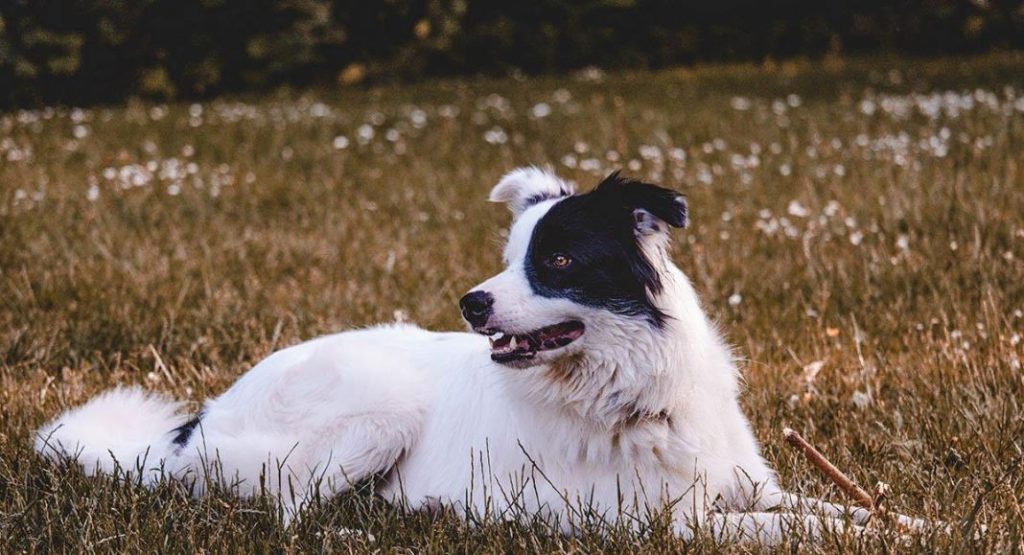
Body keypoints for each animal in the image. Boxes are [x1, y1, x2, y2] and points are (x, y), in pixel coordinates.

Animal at [36, 168, 925, 544]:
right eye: (507, 257)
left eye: (556, 259)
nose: (472, 303)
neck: (626, 390)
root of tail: (199, 423)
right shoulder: (656, 519)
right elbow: (787, 531)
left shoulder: (740, 487)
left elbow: (833, 509)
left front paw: (917, 521)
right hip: (378, 407)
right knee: (287, 507)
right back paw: (361, 531)